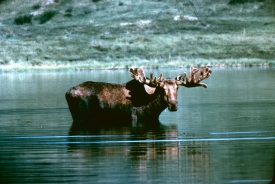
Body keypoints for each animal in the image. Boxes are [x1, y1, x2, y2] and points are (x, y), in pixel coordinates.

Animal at [66, 67, 212, 127]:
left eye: (177, 88)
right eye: (162, 89)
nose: (173, 105)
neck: (153, 108)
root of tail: (67, 93)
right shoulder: (134, 118)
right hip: (80, 116)